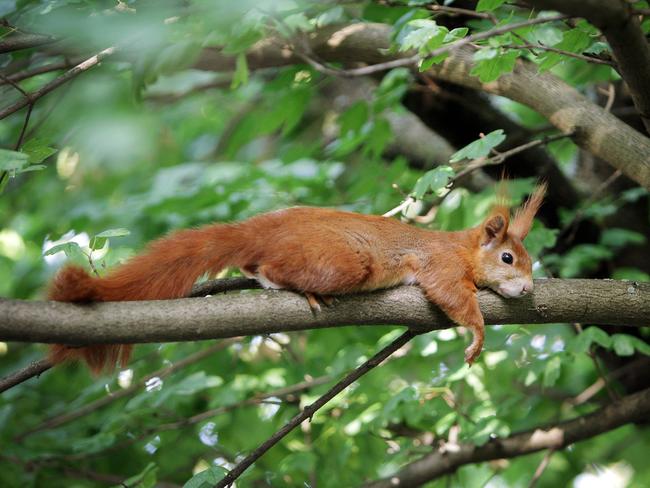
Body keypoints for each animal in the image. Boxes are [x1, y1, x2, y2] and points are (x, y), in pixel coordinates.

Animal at [46, 184, 540, 374]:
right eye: (509, 258)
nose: (529, 288)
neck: (462, 248)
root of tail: (267, 229)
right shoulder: (439, 265)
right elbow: (453, 297)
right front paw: (477, 334)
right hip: (343, 262)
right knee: (274, 269)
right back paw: (294, 287)